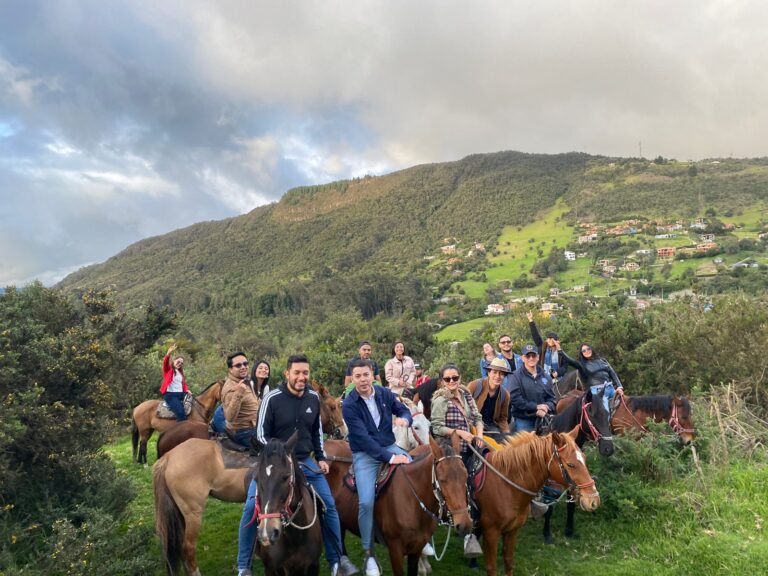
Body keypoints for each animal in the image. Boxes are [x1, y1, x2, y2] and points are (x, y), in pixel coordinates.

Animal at [322, 436, 472, 576]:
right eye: (442, 479)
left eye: (465, 475)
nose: (464, 524)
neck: (412, 502)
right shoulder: (395, 550)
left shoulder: (417, 548)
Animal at [474, 430, 600, 572]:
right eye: (570, 465)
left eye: (584, 458)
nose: (594, 500)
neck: (504, 485)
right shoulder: (491, 533)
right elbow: (491, 567)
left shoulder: (512, 530)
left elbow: (509, 561)